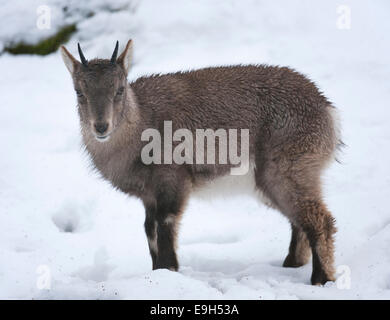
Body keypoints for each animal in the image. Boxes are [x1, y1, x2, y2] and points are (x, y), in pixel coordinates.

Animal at [59, 40, 340, 284]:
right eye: (78, 92)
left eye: (119, 89)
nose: (101, 126)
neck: (141, 125)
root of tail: (327, 110)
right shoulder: (148, 195)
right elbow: (149, 230)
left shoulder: (173, 181)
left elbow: (164, 225)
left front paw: (168, 272)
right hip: (273, 182)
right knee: (299, 220)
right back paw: (292, 264)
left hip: (288, 169)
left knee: (319, 219)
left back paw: (321, 279)